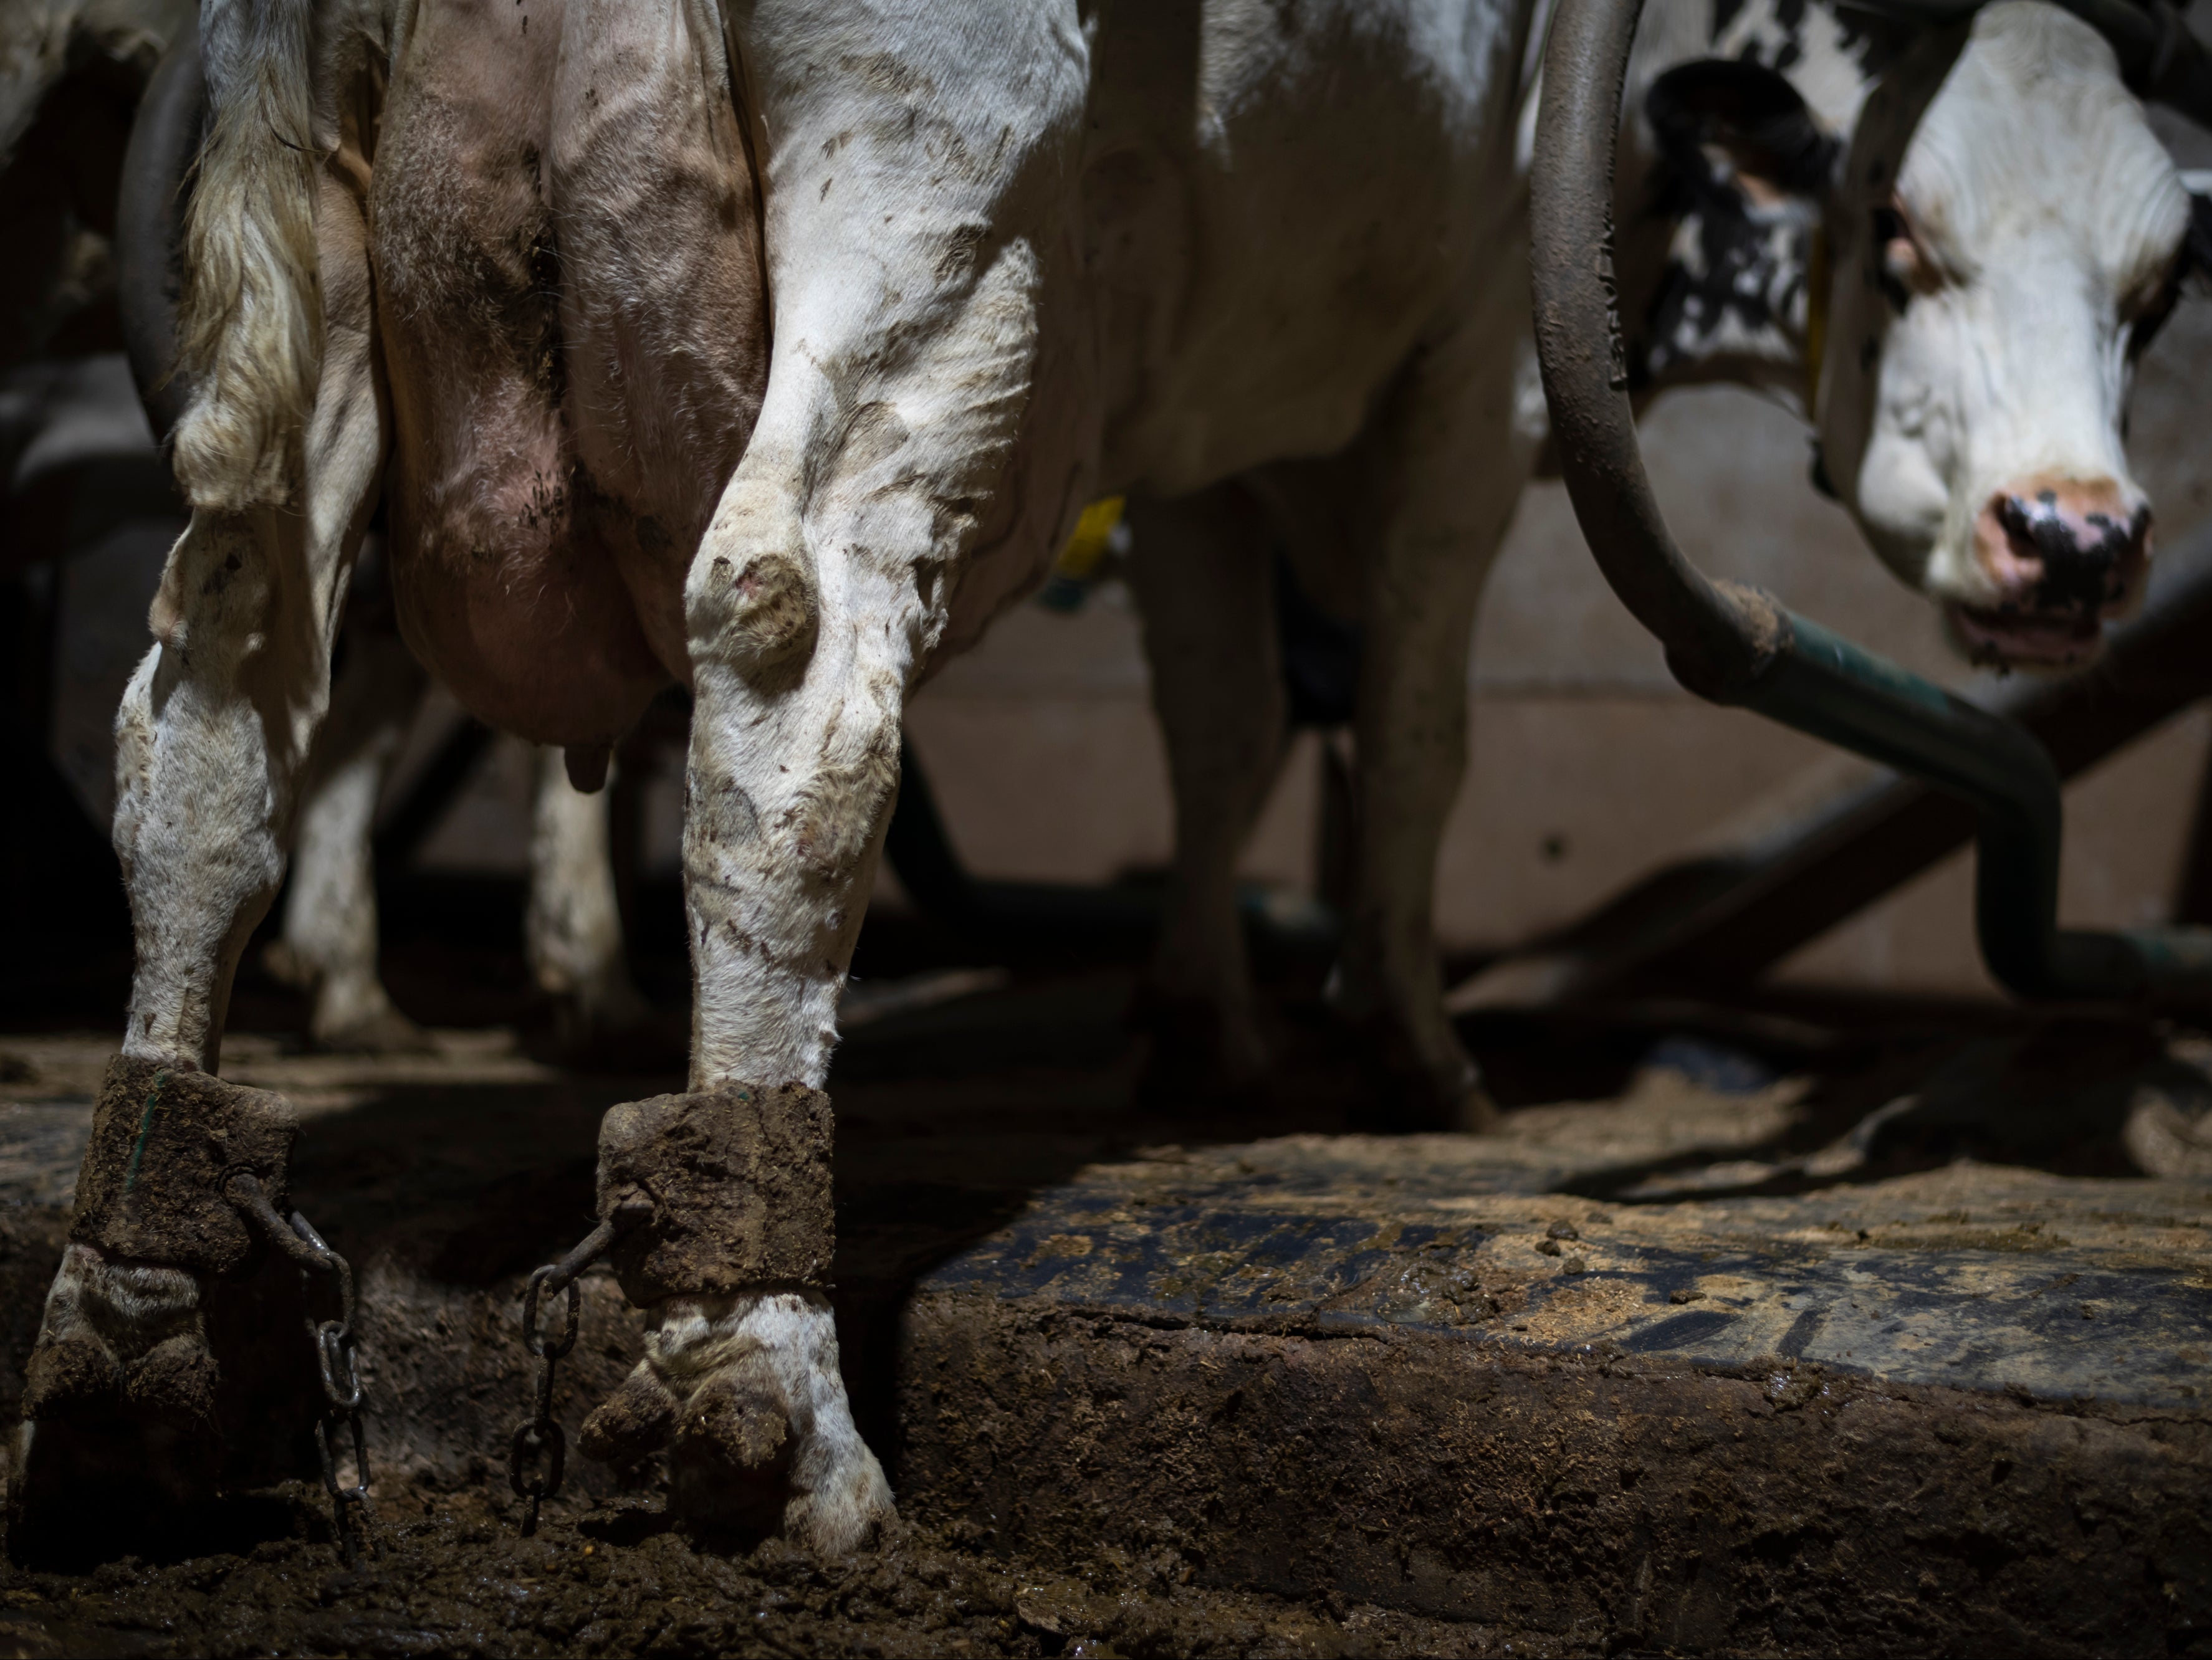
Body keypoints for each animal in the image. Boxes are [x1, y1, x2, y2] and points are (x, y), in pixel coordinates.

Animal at [17, 0, 2212, 1565]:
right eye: (1899, 237)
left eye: (2156, 287)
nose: (2079, 544)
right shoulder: (1471, 372)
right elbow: (1415, 722)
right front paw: (1411, 1043)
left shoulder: (1205, 418)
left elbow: (1219, 721)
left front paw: (1201, 1018)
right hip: (928, 221)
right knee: (784, 653)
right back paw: (766, 1391)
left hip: (304, 279)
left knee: (211, 700)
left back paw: (126, 1319)